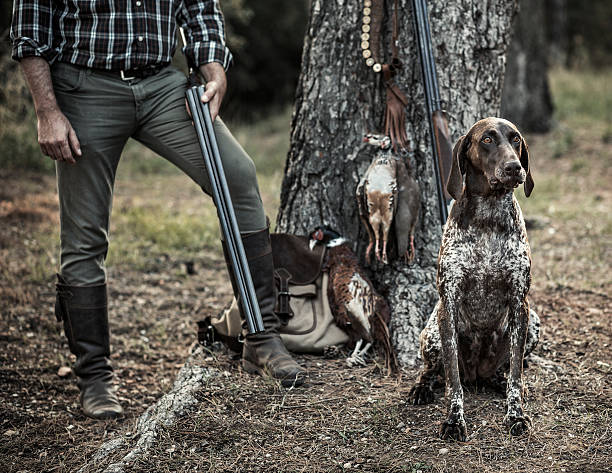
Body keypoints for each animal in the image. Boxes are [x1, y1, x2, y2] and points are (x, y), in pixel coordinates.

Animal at [412, 117, 540, 438]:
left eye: (516, 139)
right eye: (487, 140)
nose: (514, 168)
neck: (489, 218)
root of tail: (477, 375)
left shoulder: (520, 303)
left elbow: (516, 375)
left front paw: (515, 414)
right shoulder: (448, 303)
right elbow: (452, 382)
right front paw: (454, 419)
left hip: (533, 323)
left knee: (507, 370)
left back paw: (500, 381)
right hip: (432, 331)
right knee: (432, 370)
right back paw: (422, 387)